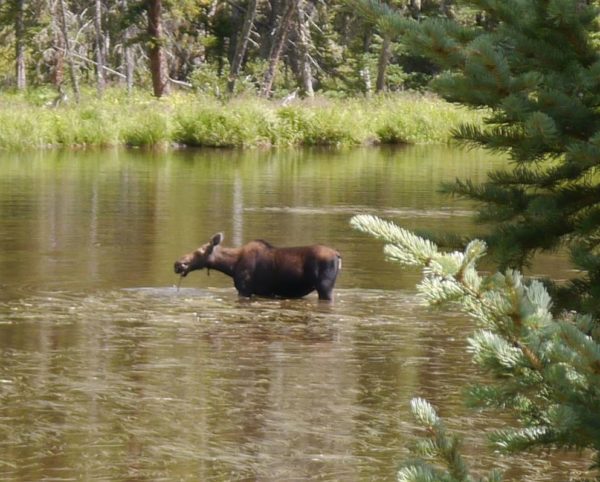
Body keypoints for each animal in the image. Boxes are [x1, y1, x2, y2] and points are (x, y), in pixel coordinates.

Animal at [173, 232, 342, 300]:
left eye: (200, 251)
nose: (178, 263)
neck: (230, 266)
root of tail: (338, 255)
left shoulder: (244, 289)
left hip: (325, 287)